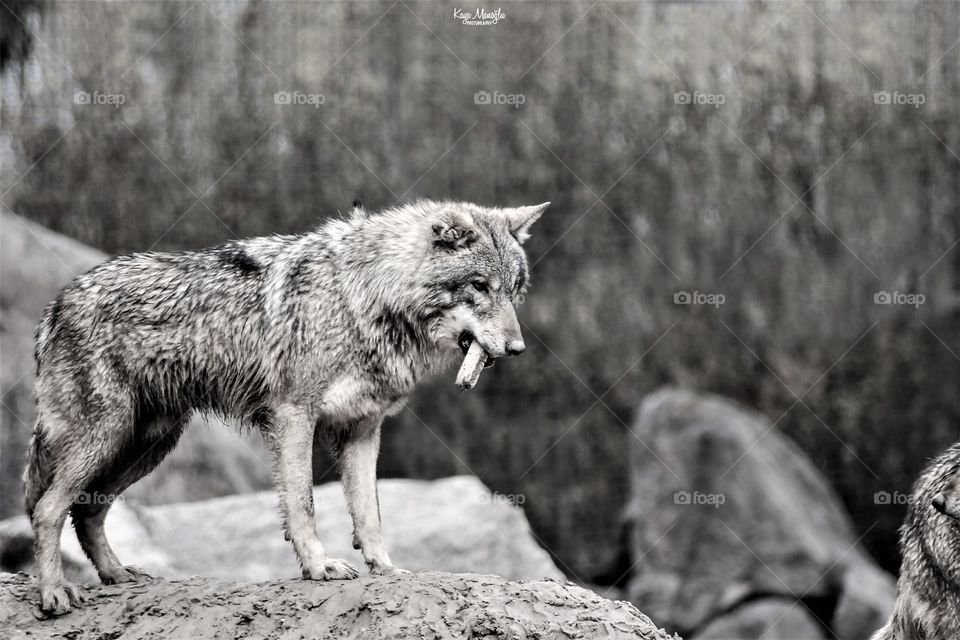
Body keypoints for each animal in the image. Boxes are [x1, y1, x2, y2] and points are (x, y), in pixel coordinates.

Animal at [24, 199, 548, 615]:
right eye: (479, 286)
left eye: (513, 290)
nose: (517, 349)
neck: (365, 299)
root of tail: (57, 303)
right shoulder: (295, 416)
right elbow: (303, 503)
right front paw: (318, 566)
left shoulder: (363, 428)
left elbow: (369, 514)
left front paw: (386, 570)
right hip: (108, 437)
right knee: (48, 509)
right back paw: (55, 594)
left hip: (147, 445)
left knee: (88, 511)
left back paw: (116, 575)